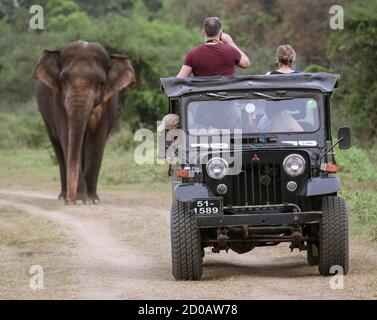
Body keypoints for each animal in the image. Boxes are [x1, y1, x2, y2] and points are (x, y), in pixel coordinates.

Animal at [32, 41, 135, 204]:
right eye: (63, 79)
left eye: (100, 83)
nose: (71, 200)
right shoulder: (57, 99)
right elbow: (66, 135)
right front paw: (81, 200)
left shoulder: (108, 103)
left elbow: (97, 139)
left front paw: (92, 200)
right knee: (58, 147)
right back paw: (63, 196)